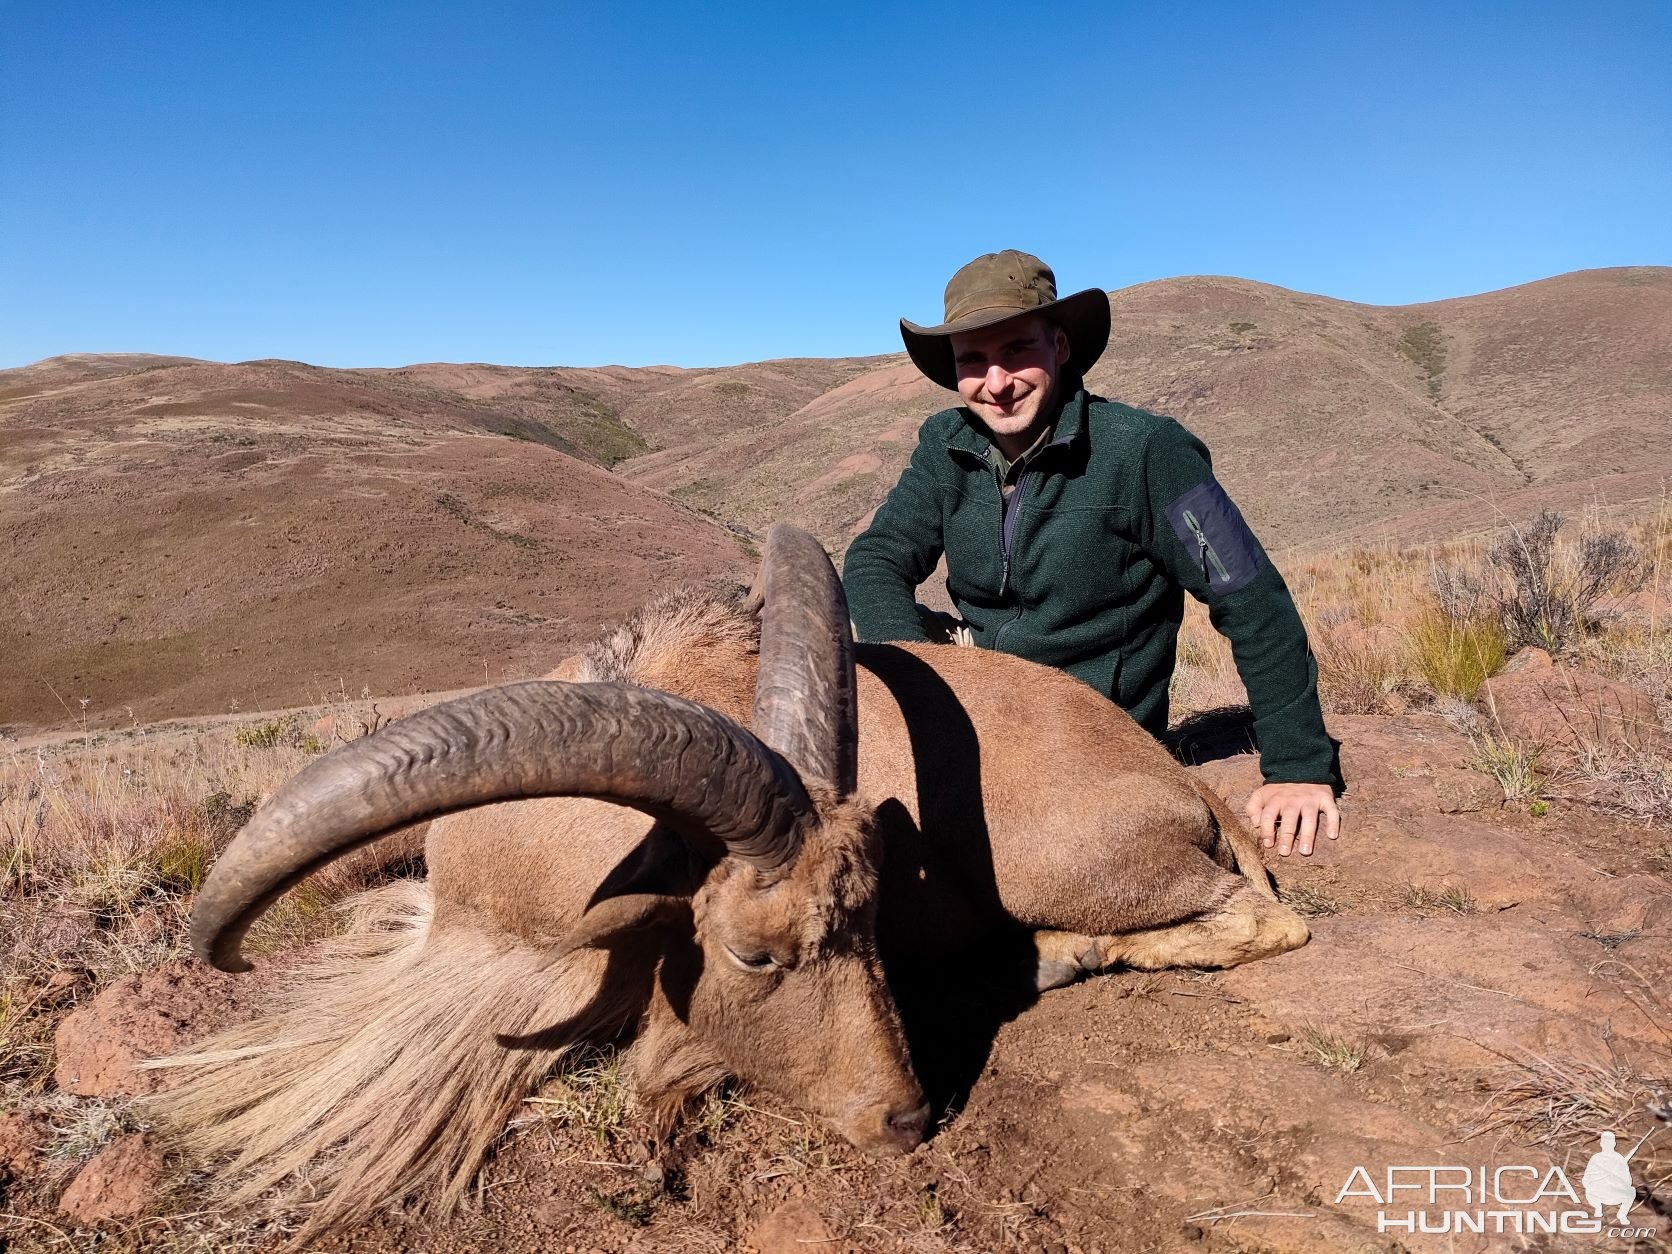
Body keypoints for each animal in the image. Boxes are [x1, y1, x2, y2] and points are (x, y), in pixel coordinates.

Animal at [147, 521, 1304, 1237]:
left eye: (875, 920)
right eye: (753, 954)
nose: (906, 1120)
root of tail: (1181, 784)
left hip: (1078, 867)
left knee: (1261, 923)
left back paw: (1058, 952)